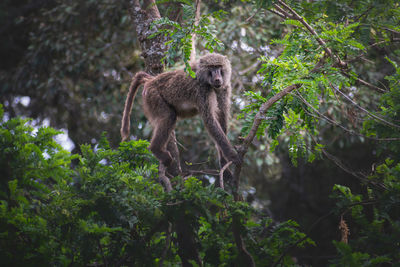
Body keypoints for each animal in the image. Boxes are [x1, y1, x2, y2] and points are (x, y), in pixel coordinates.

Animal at [119, 53, 238, 183]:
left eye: (219, 66)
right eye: (211, 67)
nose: (217, 78)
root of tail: (151, 80)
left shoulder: (224, 88)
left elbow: (221, 119)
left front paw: (224, 164)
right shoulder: (202, 90)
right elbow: (210, 120)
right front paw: (232, 156)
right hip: (153, 95)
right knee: (169, 117)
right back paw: (156, 150)